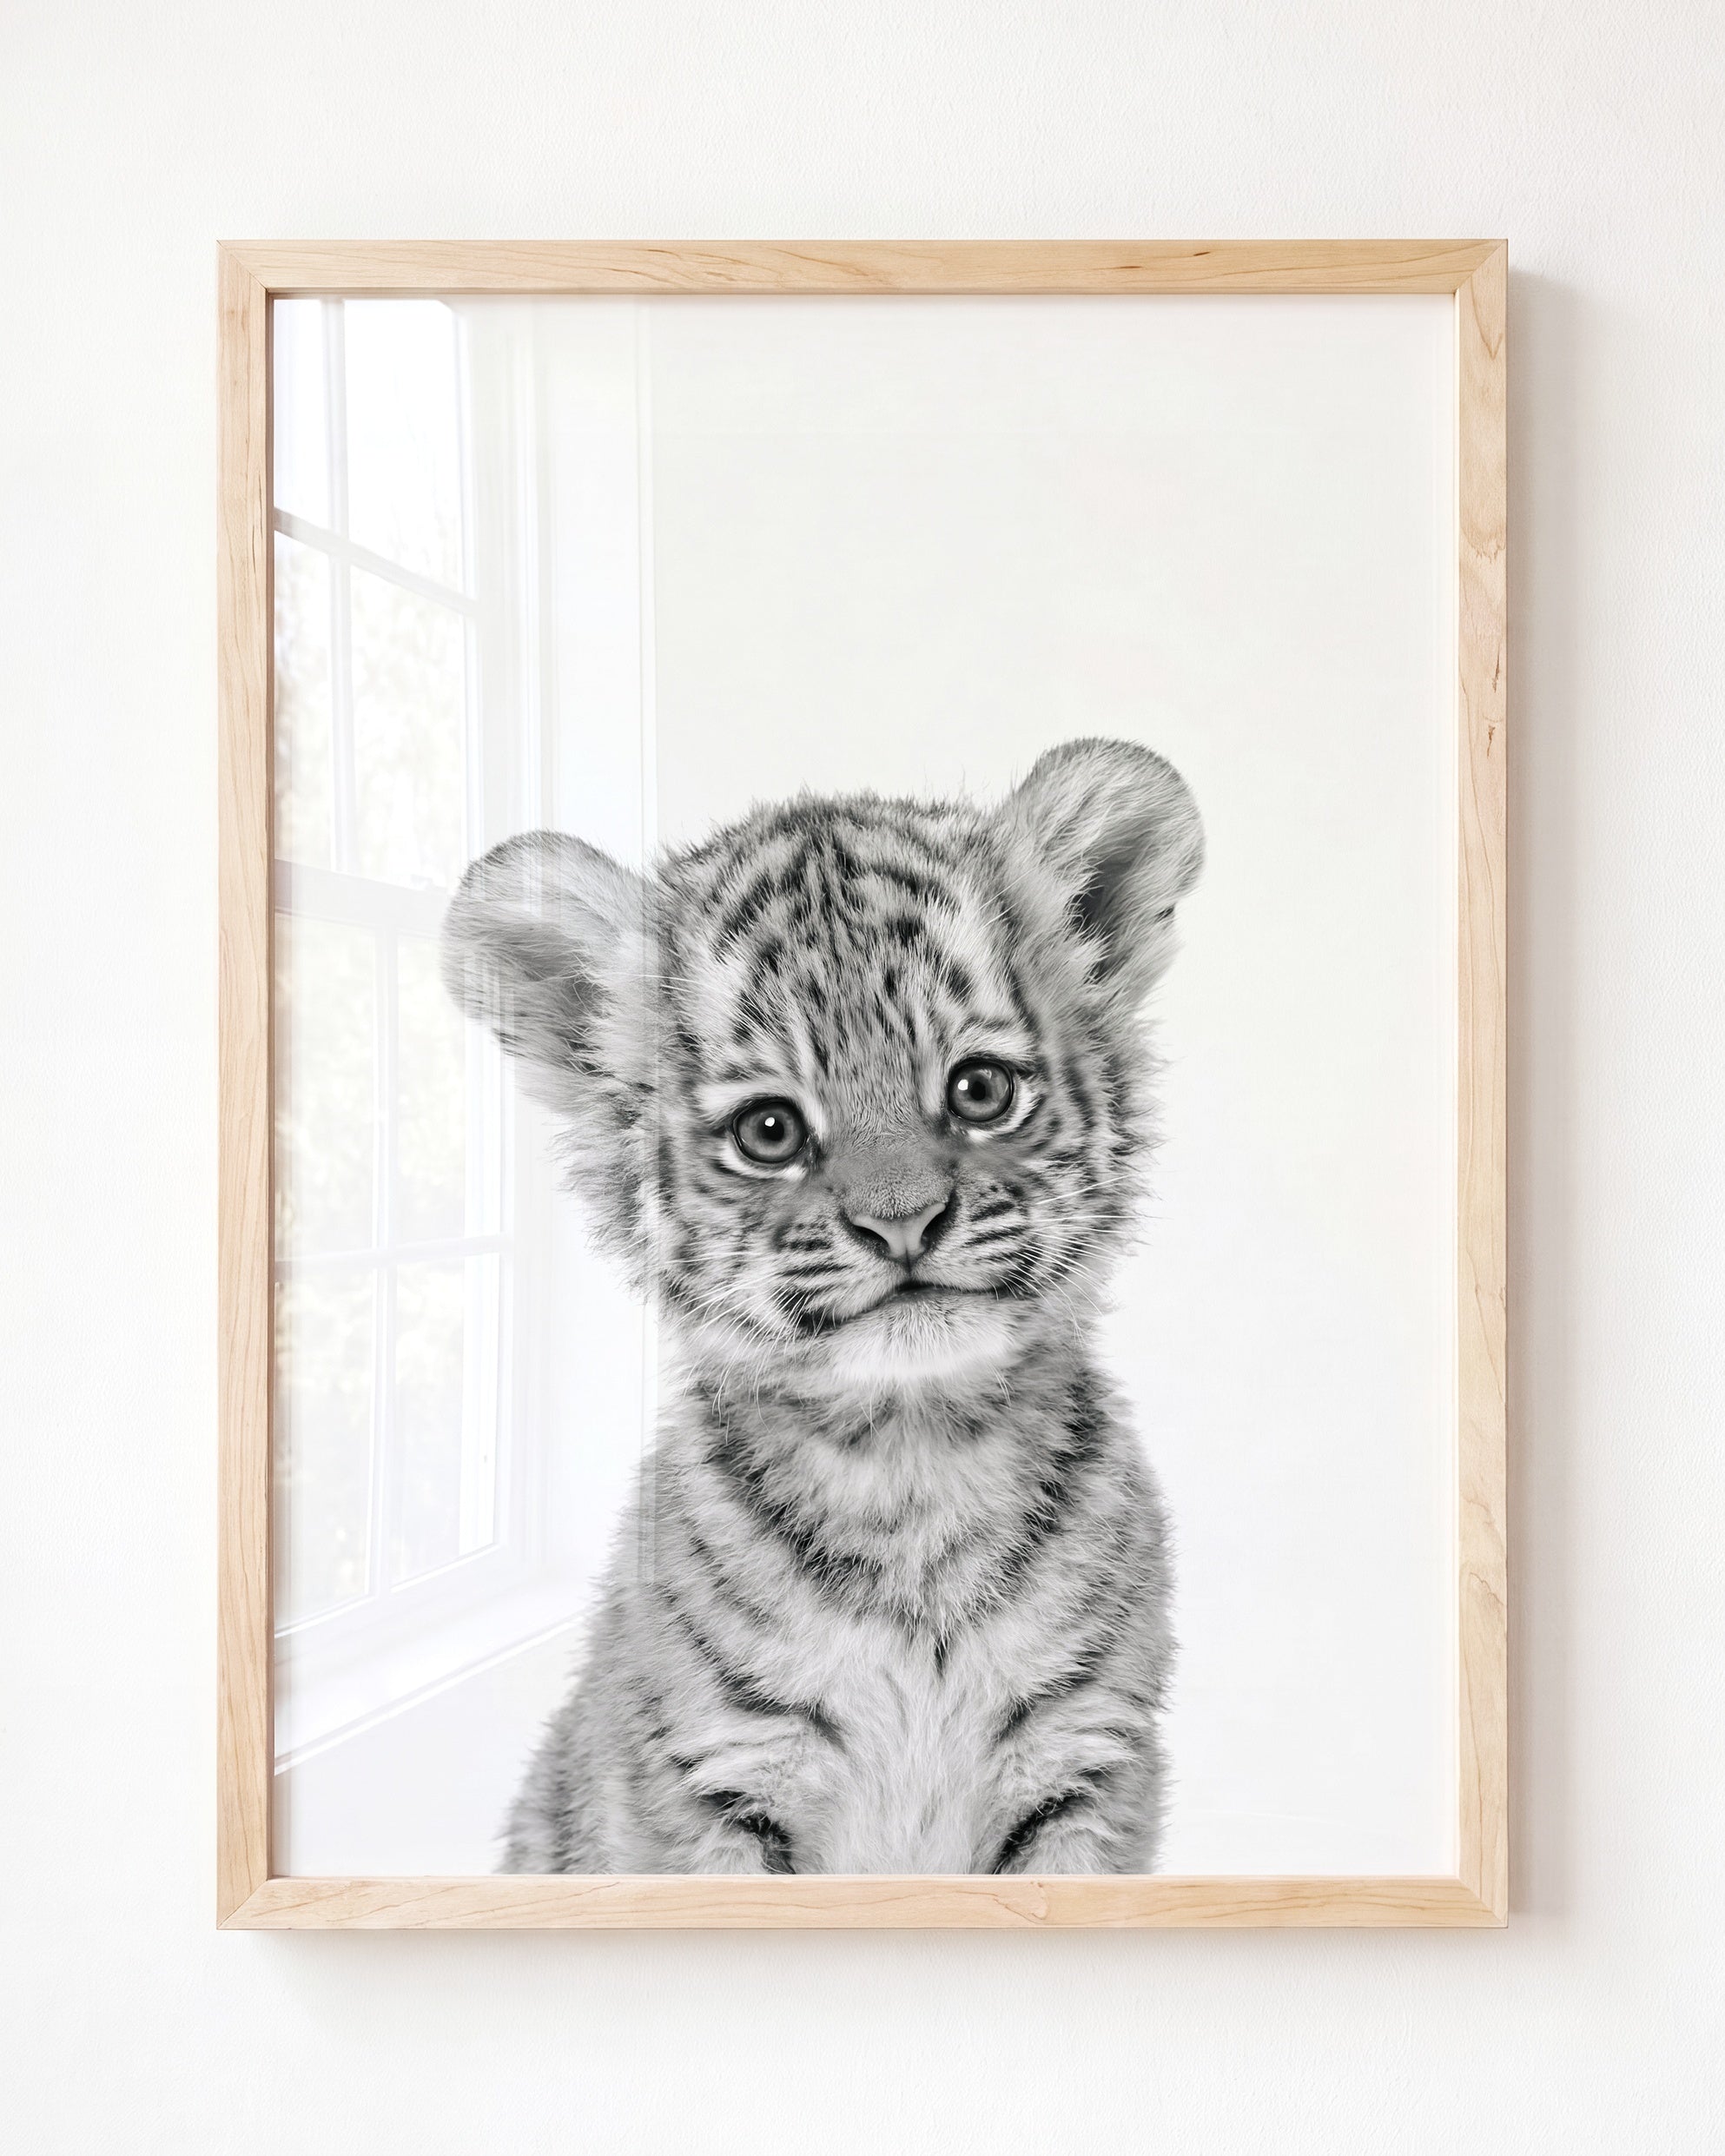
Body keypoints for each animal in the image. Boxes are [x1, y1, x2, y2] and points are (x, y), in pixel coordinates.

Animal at [442, 736, 1204, 1874]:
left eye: (981, 1090)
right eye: (769, 1130)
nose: (903, 1223)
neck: (914, 1468)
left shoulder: (1086, 1762)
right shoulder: (711, 1782)